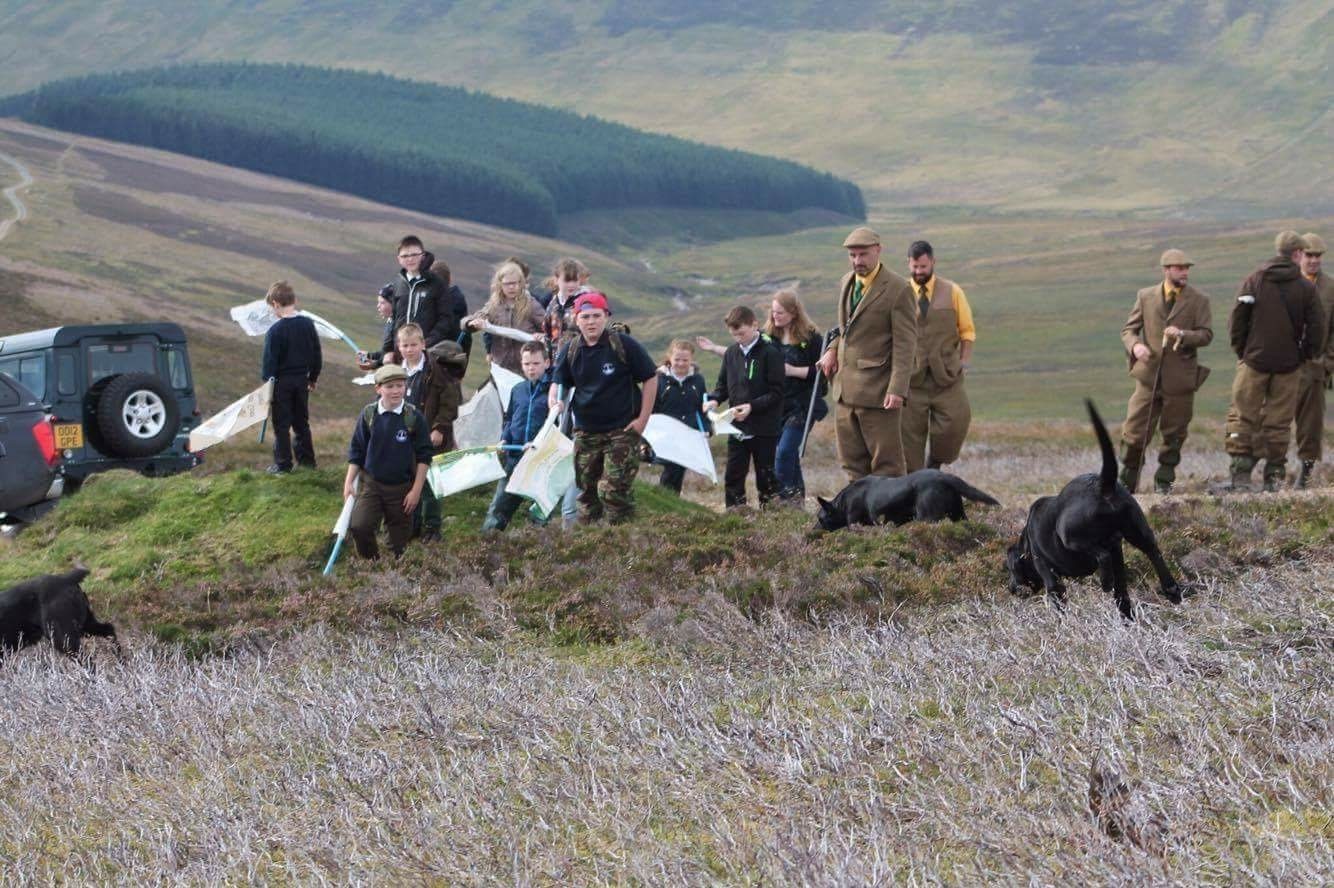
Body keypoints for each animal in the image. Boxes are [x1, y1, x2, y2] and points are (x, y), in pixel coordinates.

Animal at [811, 466, 1003, 528]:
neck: (843, 503)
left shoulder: (855, 521)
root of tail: (944, 477)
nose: (812, 531)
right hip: (958, 515)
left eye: (820, 519)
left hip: (927, 517)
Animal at [1003, 400, 1184, 616]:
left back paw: (1105, 582)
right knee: (1152, 550)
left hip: (1071, 536)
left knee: (1102, 555)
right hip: (1137, 529)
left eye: (1009, 569)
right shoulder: (1120, 558)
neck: (1026, 546)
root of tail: (1101, 486)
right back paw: (1171, 589)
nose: (1011, 588)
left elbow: (1058, 600)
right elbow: (1122, 594)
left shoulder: (1048, 574)